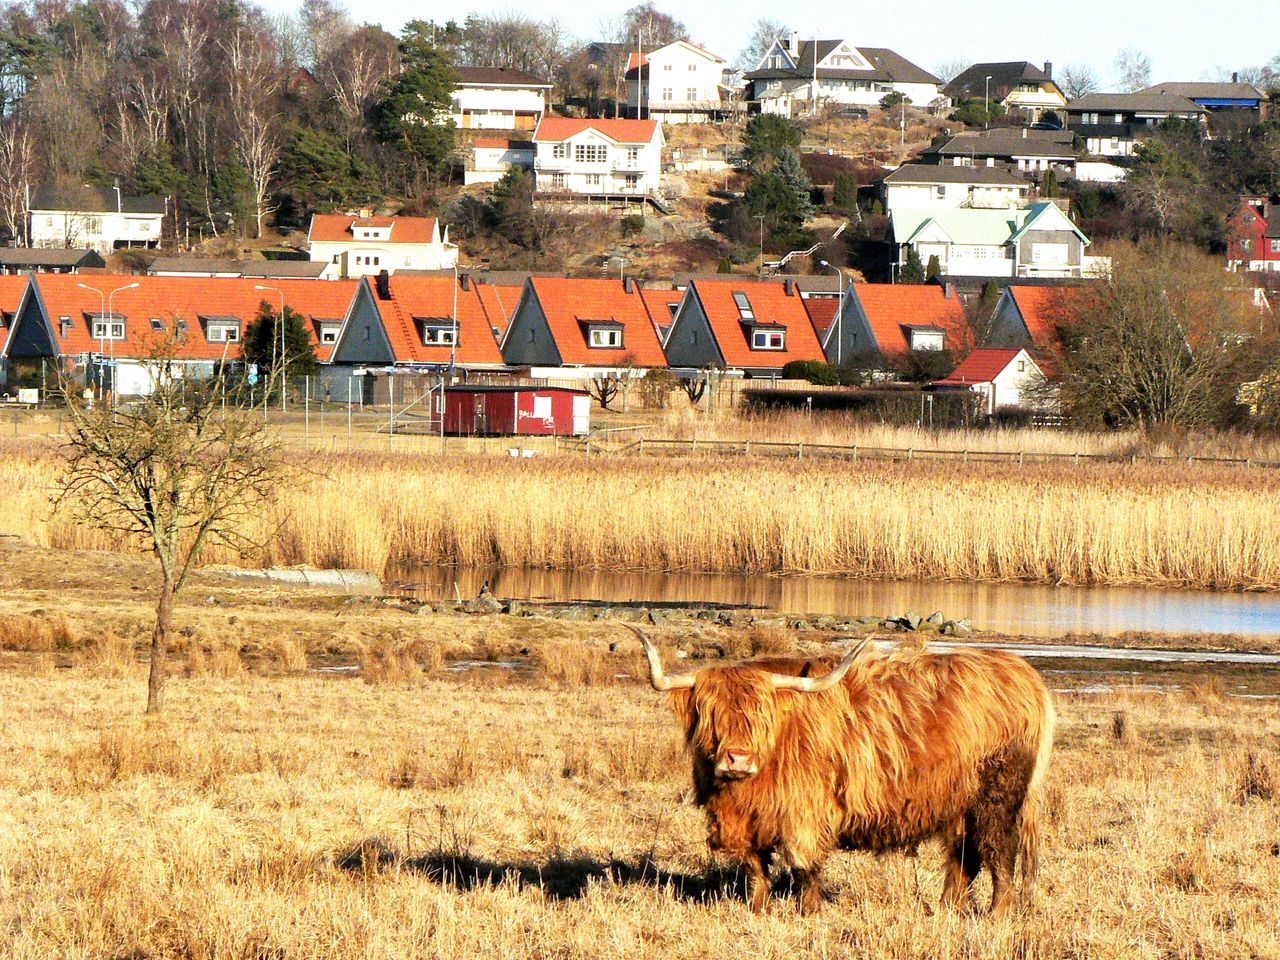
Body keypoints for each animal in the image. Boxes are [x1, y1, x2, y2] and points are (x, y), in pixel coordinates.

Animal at [629, 624, 1059, 916]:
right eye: (711, 714)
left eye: (761, 717)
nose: (738, 758)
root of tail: (1021, 673)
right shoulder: (746, 819)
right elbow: (754, 867)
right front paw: (758, 909)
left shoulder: (805, 811)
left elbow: (804, 865)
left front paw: (808, 912)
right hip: (958, 801)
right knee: (964, 854)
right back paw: (947, 909)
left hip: (998, 793)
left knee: (999, 850)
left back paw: (996, 914)